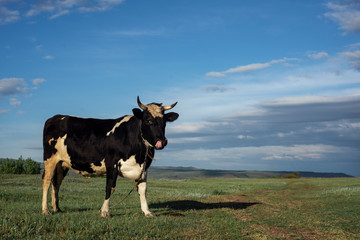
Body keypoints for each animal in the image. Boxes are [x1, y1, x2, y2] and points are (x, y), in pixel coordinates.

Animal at [41, 96, 179, 218]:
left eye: (164, 122)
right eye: (148, 120)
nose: (162, 141)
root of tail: (55, 117)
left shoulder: (144, 168)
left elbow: (143, 189)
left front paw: (147, 212)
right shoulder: (112, 164)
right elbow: (110, 188)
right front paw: (105, 211)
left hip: (62, 163)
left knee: (56, 183)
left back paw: (57, 208)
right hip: (50, 159)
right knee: (47, 181)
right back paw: (45, 210)